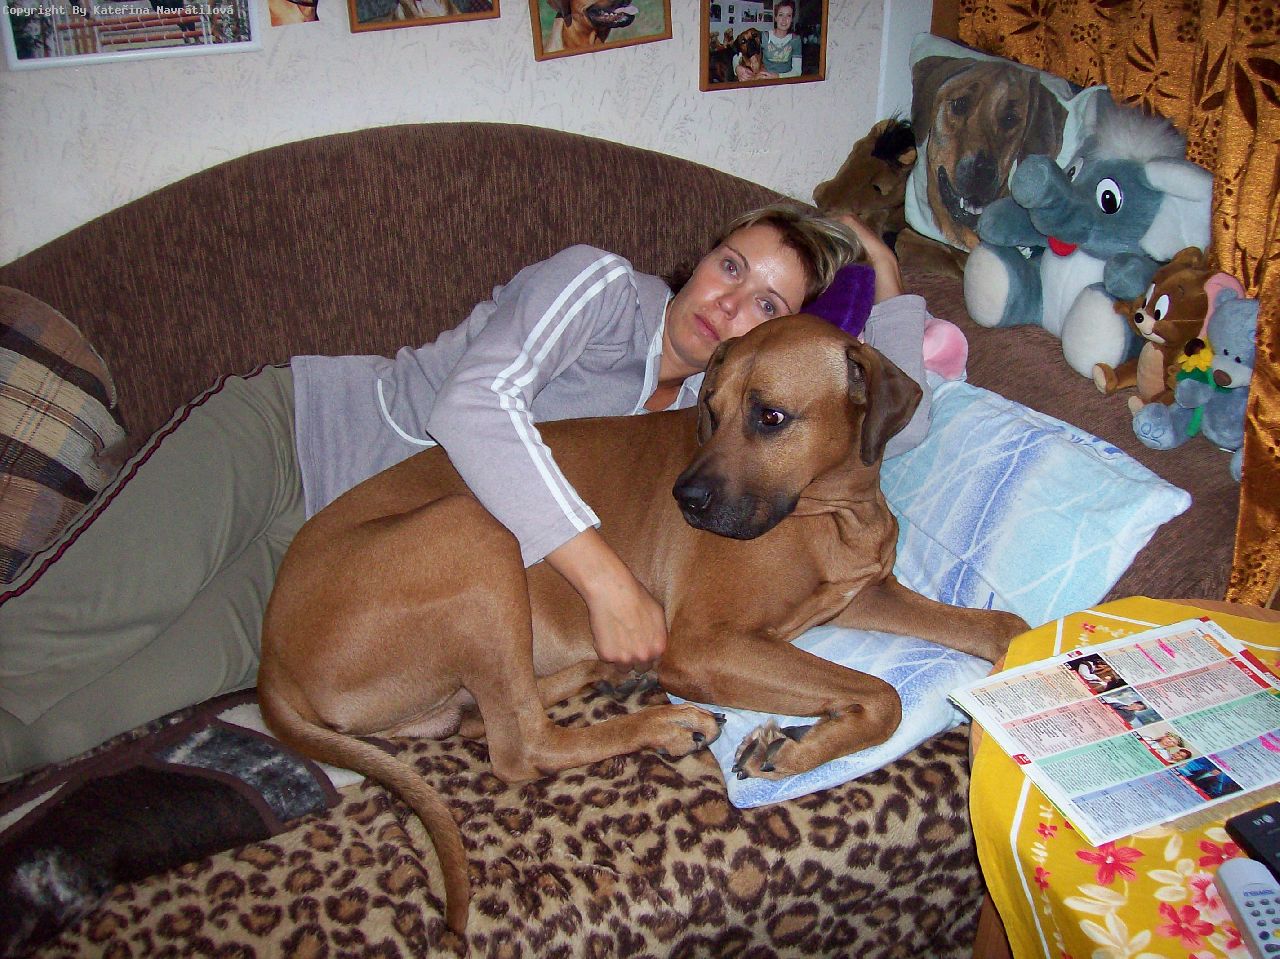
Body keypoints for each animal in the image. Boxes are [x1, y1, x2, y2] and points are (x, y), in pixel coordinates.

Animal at [258, 315, 1027, 935]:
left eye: (770, 416)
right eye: (710, 410)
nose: (686, 498)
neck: (831, 514)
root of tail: (269, 662)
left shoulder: (868, 594)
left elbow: (1001, 622)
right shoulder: (704, 644)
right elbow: (881, 694)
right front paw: (797, 749)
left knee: (486, 717)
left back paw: (611, 675)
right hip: (473, 527)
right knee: (521, 746)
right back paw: (664, 721)